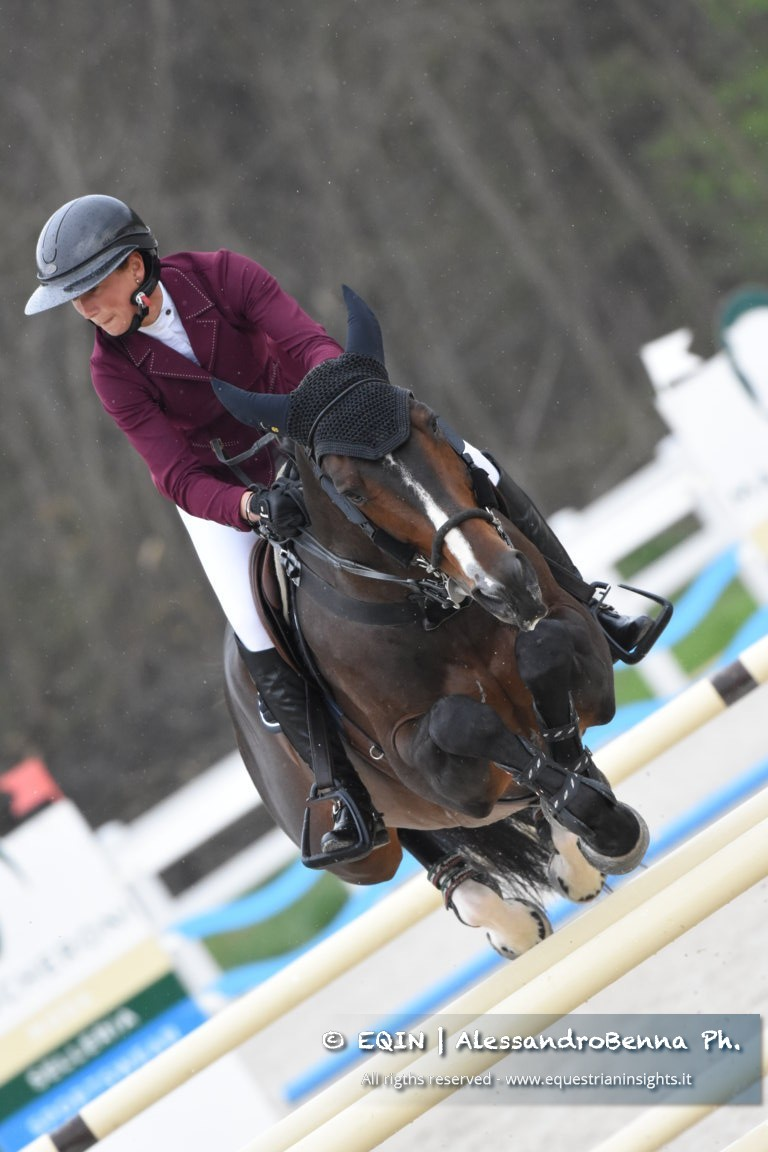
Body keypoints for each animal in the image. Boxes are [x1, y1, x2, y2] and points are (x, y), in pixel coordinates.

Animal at [213, 288, 652, 958]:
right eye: (349, 489)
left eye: (433, 422)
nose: (504, 583)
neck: (437, 607)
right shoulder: (421, 762)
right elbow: (461, 721)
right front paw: (594, 816)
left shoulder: (579, 645)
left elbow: (545, 650)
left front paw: (594, 811)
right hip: (362, 850)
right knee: (413, 840)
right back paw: (506, 920)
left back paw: (569, 854)